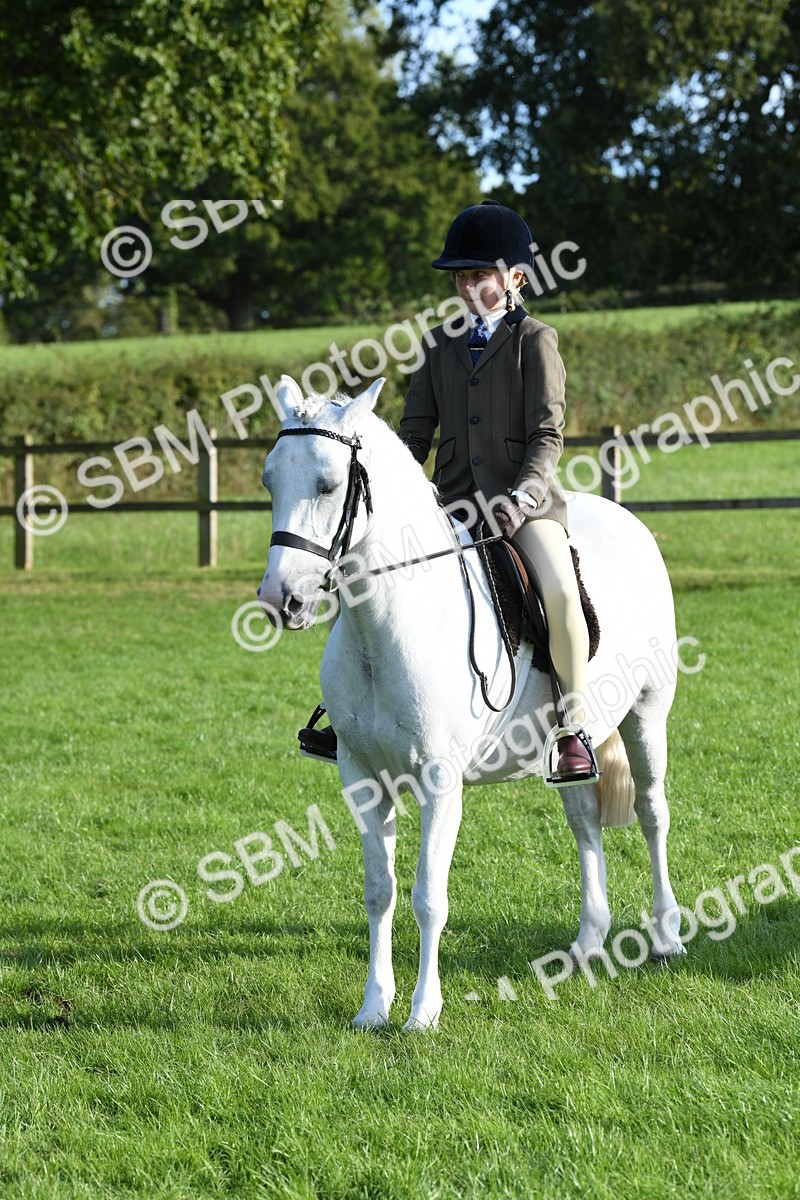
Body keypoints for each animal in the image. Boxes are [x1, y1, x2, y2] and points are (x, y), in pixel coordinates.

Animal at [258, 375, 685, 1031]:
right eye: (269, 480)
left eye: (328, 484)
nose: (282, 600)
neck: (386, 626)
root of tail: (624, 520)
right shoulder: (362, 777)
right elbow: (379, 892)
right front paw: (373, 1008)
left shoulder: (439, 781)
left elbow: (428, 897)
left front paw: (423, 1013)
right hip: (568, 741)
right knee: (584, 819)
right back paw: (588, 941)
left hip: (647, 714)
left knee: (651, 812)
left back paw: (666, 936)